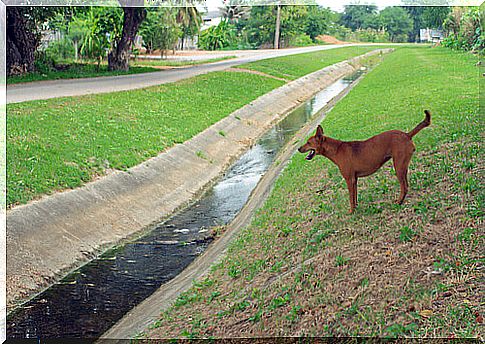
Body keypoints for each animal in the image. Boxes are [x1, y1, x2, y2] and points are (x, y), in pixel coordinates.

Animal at [298, 110, 432, 212]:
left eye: (308, 142)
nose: (299, 148)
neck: (337, 149)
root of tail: (406, 134)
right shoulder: (354, 179)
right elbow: (355, 197)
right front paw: (356, 208)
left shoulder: (349, 179)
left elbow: (350, 198)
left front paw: (351, 212)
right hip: (403, 166)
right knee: (406, 185)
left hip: (398, 167)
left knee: (404, 187)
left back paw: (399, 202)